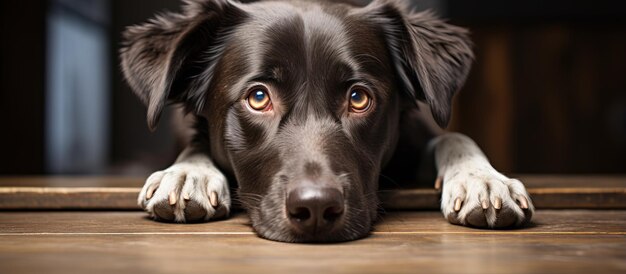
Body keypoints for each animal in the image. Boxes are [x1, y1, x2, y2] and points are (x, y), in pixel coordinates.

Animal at [120, 0, 532, 242]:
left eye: (358, 98)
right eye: (258, 97)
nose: (316, 208)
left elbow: (455, 137)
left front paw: (483, 180)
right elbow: (196, 144)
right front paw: (188, 173)